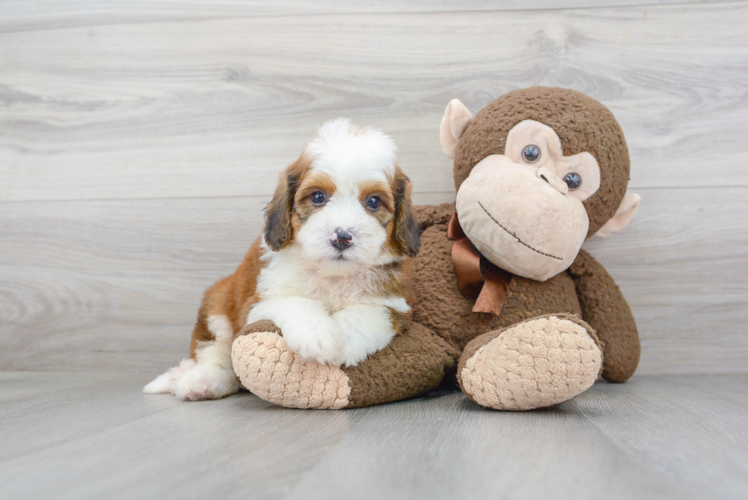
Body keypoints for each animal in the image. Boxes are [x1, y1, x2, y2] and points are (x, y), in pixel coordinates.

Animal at [143, 119, 418, 400]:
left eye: (373, 201)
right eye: (318, 197)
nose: (341, 237)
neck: (330, 275)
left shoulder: (395, 306)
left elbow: (369, 314)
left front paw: (345, 339)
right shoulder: (256, 304)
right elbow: (294, 302)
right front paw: (317, 335)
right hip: (217, 301)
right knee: (213, 350)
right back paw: (201, 381)